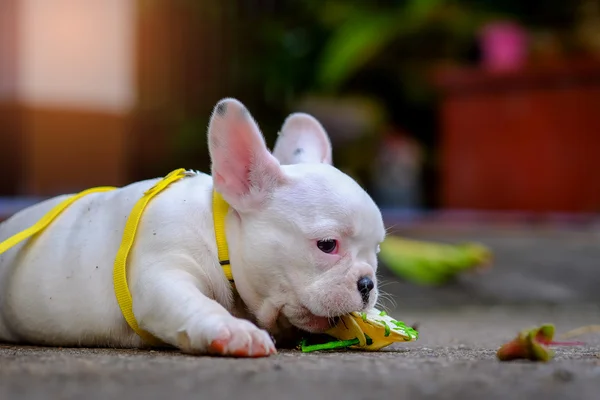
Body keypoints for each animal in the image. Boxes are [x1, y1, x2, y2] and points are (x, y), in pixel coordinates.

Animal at [0, 98, 384, 358]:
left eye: (377, 250)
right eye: (327, 244)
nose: (367, 283)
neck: (219, 236)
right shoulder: (164, 273)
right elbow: (194, 303)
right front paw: (232, 330)